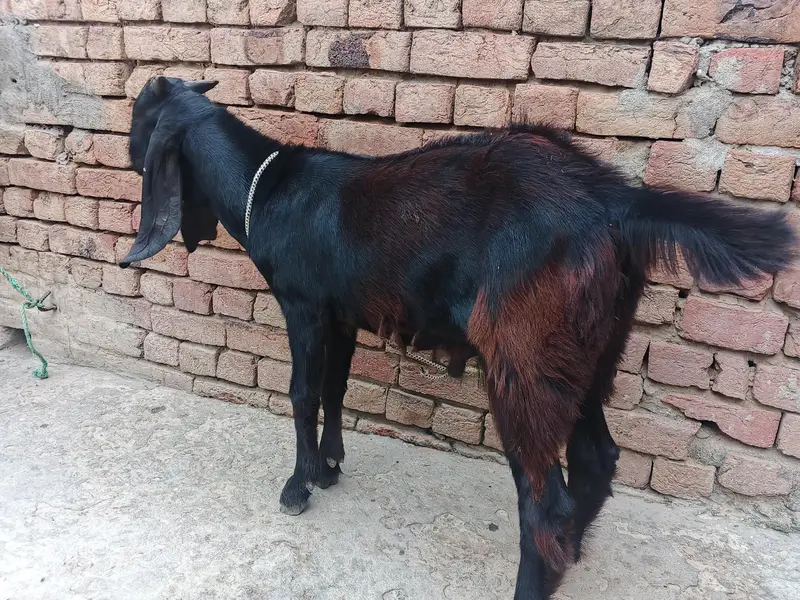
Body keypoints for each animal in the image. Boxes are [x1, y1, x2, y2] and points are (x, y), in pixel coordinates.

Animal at [120, 77, 796, 600]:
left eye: (141, 121)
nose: (125, 151)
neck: (272, 188)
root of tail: (613, 202)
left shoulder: (305, 307)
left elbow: (302, 393)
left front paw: (298, 485)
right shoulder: (342, 314)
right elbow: (336, 389)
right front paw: (330, 467)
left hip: (523, 359)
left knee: (543, 503)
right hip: (588, 351)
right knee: (595, 459)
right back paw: (572, 557)